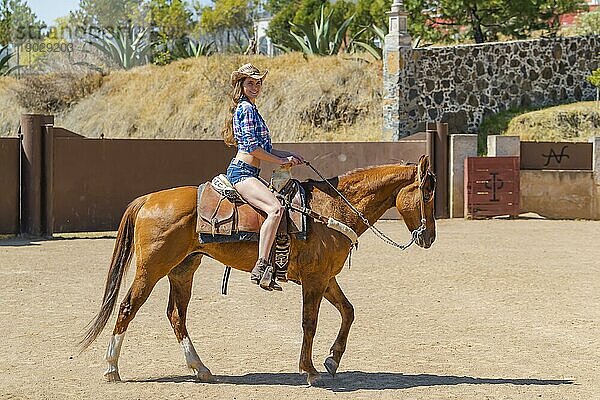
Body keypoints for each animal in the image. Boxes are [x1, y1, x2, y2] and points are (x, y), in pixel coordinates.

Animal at [79, 154, 436, 384]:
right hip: (150, 269)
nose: (429, 237)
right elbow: (310, 323)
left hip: (183, 270)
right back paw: (112, 368)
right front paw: (309, 370)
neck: (330, 210)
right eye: (427, 193)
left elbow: (348, 312)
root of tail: (149, 199)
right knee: (127, 307)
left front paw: (332, 360)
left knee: (176, 315)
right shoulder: (315, 281)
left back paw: (201, 369)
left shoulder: (326, 278)